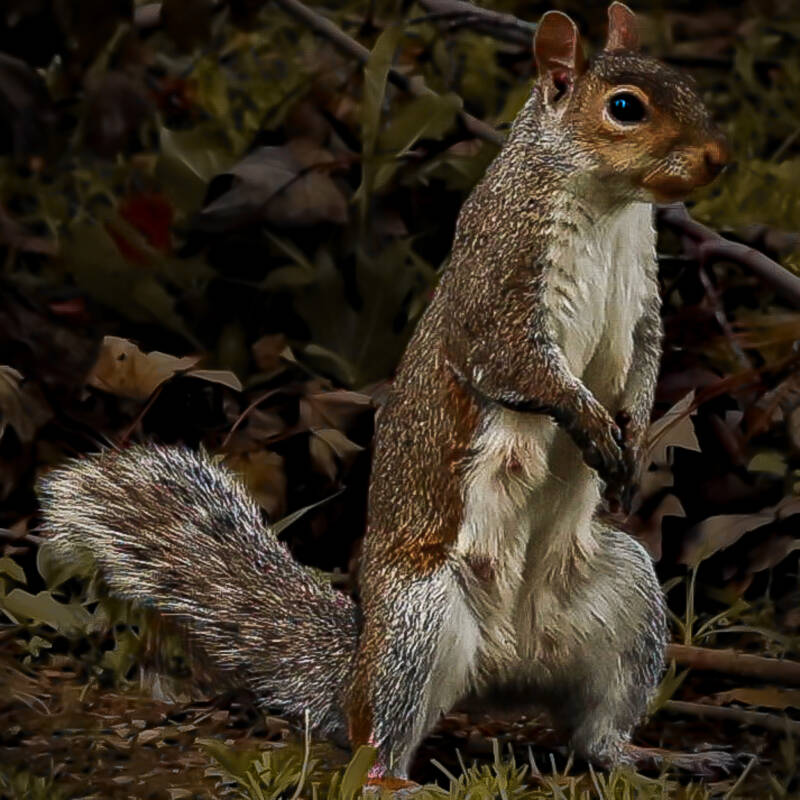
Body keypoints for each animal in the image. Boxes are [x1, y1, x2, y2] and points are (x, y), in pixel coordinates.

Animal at [38, 2, 733, 789]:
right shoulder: (498, 285)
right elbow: (521, 366)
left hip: (625, 600)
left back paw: (660, 754)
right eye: (624, 108)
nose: (717, 157)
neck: (608, 206)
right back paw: (401, 783)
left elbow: (644, 363)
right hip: (419, 622)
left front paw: (636, 439)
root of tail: (503, 668)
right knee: (375, 743)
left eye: (685, 83)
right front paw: (587, 419)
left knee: (597, 737)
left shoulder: (642, 298)